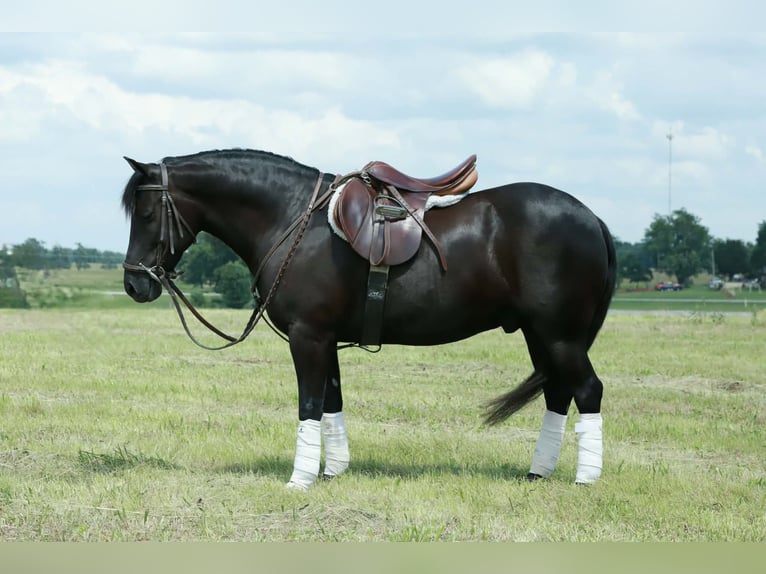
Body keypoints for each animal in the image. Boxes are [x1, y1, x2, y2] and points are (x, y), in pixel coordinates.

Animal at [121, 149, 616, 490]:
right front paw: (333, 470)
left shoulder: (307, 336)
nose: (134, 285)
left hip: (560, 336)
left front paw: (300, 480)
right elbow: (332, 400)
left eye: (145, 213)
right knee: (558, 392)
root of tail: (592, 217)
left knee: (587, 390)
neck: (294, 219)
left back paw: (585, 478)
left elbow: (309, 403)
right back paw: (538, 472)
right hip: (540, 334)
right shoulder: (326, 338)